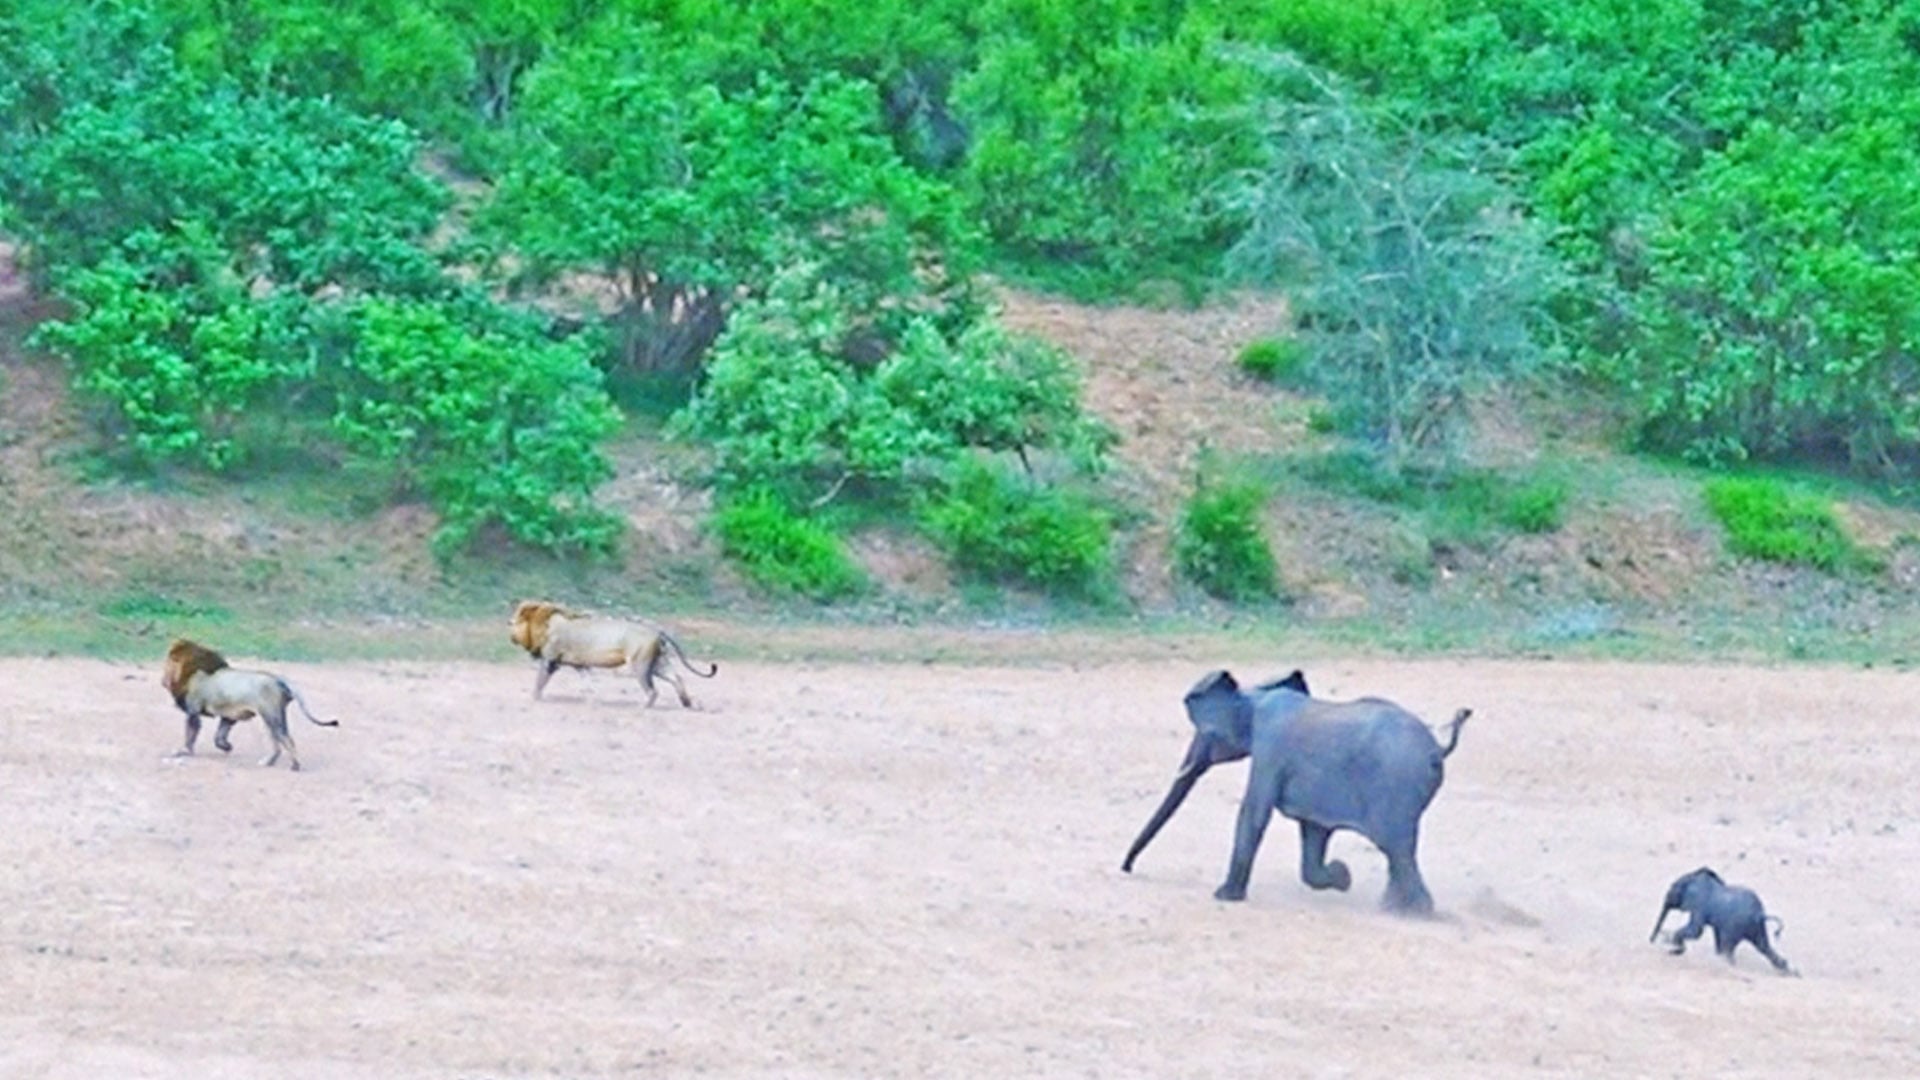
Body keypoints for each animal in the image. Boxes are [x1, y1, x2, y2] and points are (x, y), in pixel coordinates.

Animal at [161, 638, 339, 771]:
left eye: (166, 665)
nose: (163, 681)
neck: (190, 671)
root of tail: (278, 679)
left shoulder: (193, 711)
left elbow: (190, 734)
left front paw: (184, 751)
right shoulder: (229, 716)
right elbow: (219, 736)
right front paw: (227, 747)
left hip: (271, 715)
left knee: (287, 739)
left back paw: (295, 765)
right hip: (271, 718)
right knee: (277, 744)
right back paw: (268, 762)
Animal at [509, 600, 719, 708]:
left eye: (514, 621)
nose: (509, 629)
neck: (544, 625)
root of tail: (656, 630)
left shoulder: (549, 661)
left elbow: (539, 681)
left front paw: (534, 698)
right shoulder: (581, 665)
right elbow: (588, 685)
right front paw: (591, 701)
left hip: (640, 665)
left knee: (653, 690)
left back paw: (644, 706)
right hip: (658, 663)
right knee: (677, 678)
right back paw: (686, 703)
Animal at [1122, 668, 1470, 914]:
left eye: (1208, 734)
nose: (1126, 869)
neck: (1253, 696)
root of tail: (1437, 749)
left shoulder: (1269, 749)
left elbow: (1254, 812)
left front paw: (1224, 897)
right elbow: (1313, 832)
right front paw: (1342, 877)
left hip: (1397, 788)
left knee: (1396, 847)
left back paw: (1413, 913)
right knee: (1398, 852)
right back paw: (1393, 907)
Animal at [1650, 867, 1796, 975]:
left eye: (1671, 887)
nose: (1651, 941)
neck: (1693, 877)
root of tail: (1760, 914)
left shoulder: (1699, 904)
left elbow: (1696, 931)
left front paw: (1670, 943)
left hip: (1736, 926)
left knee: (1729, 948)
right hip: (1756, 928)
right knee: (1763, 947)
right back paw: (1790, 972)